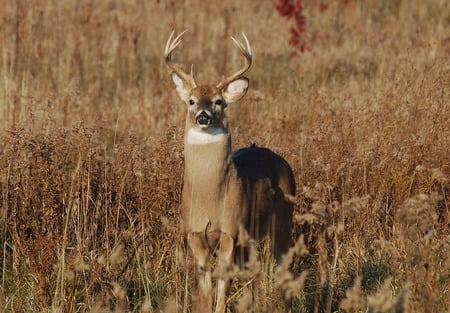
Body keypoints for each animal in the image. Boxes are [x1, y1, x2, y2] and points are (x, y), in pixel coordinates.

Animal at [163, 29, 298, 312]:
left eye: (218, 101)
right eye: (191, 101)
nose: (203, 116)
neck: (209, 199)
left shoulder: (230, 230)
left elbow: (223, 281)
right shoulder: (194, 232)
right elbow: (204, 283)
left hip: (282, 217)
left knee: (284, 266)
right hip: (251, 239)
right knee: (256, 273)